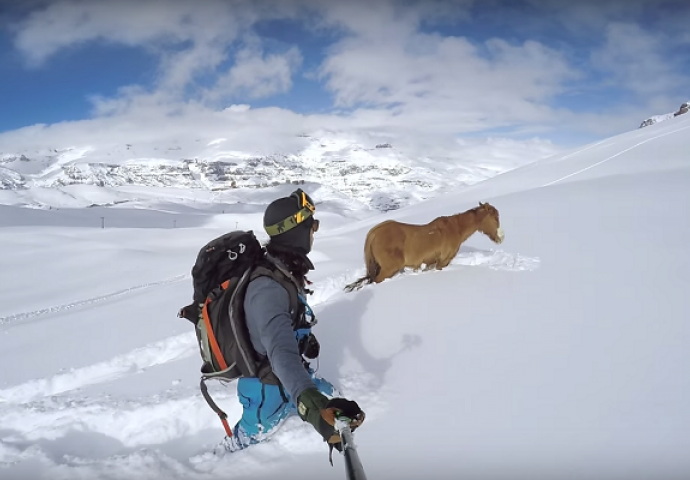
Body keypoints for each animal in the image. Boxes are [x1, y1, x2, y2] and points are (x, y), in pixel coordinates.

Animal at [342, 201, 500, 290]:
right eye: (495, 218)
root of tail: (374, 232)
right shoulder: (443, 261)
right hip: (389, 269)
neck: (455, 228)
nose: (500, 238)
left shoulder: (430, 263)